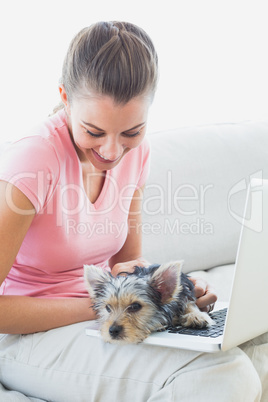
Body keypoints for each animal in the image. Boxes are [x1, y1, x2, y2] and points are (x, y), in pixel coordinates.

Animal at [84, 262, 214, 344]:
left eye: (135, 306)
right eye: (108, 308)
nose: (112, 331)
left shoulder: (185, 290)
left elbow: (189, 302)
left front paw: (196, 316)